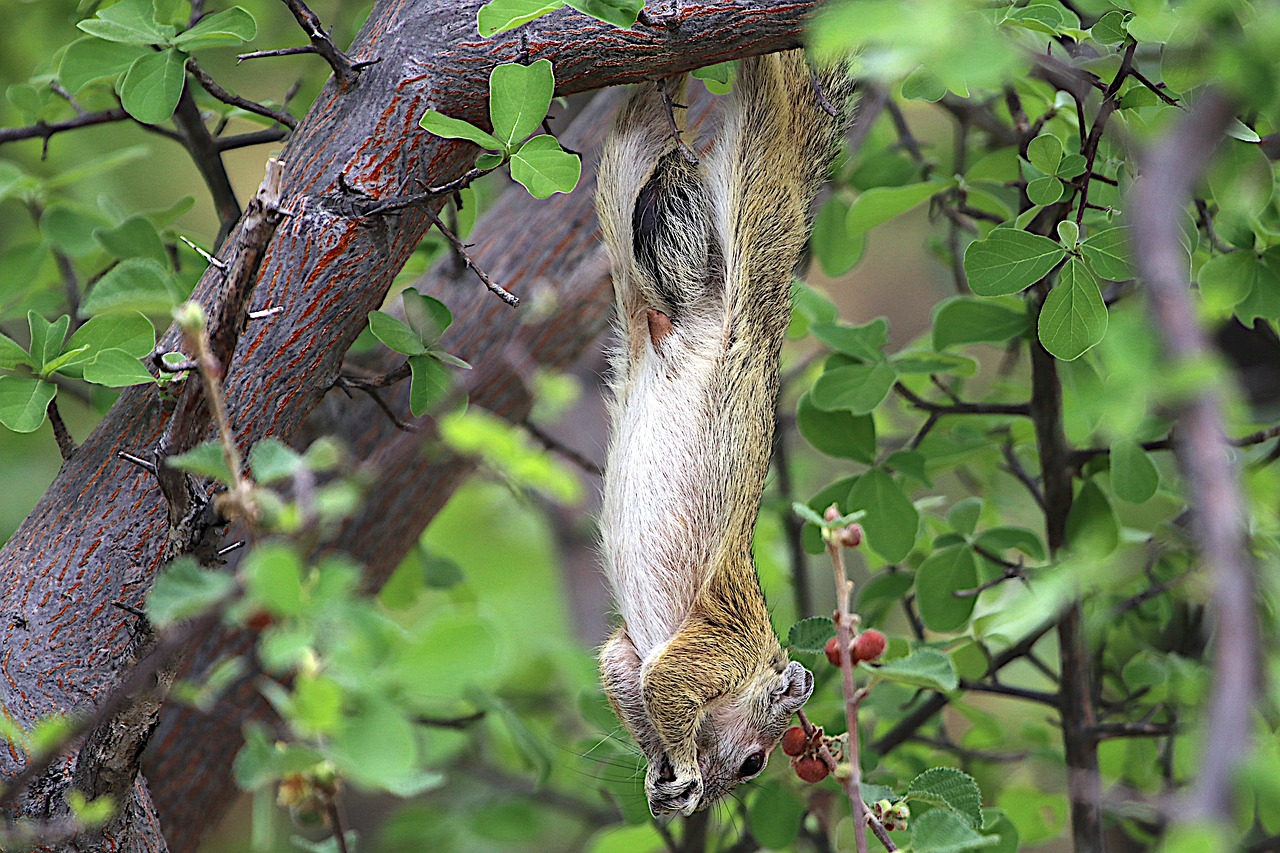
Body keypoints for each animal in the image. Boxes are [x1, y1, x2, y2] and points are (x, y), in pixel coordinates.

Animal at [593, 48, 855, 819]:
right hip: (755, 217)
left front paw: (663, 777)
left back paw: (656, 81)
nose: (713, 797)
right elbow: (665, 686)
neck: (758, 663)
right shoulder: (717, 648)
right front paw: (680, 766)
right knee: (768, 117)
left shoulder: (628, 654)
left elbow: (625, 677)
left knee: (631, 134)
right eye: (754, 761)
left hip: (621, 202)